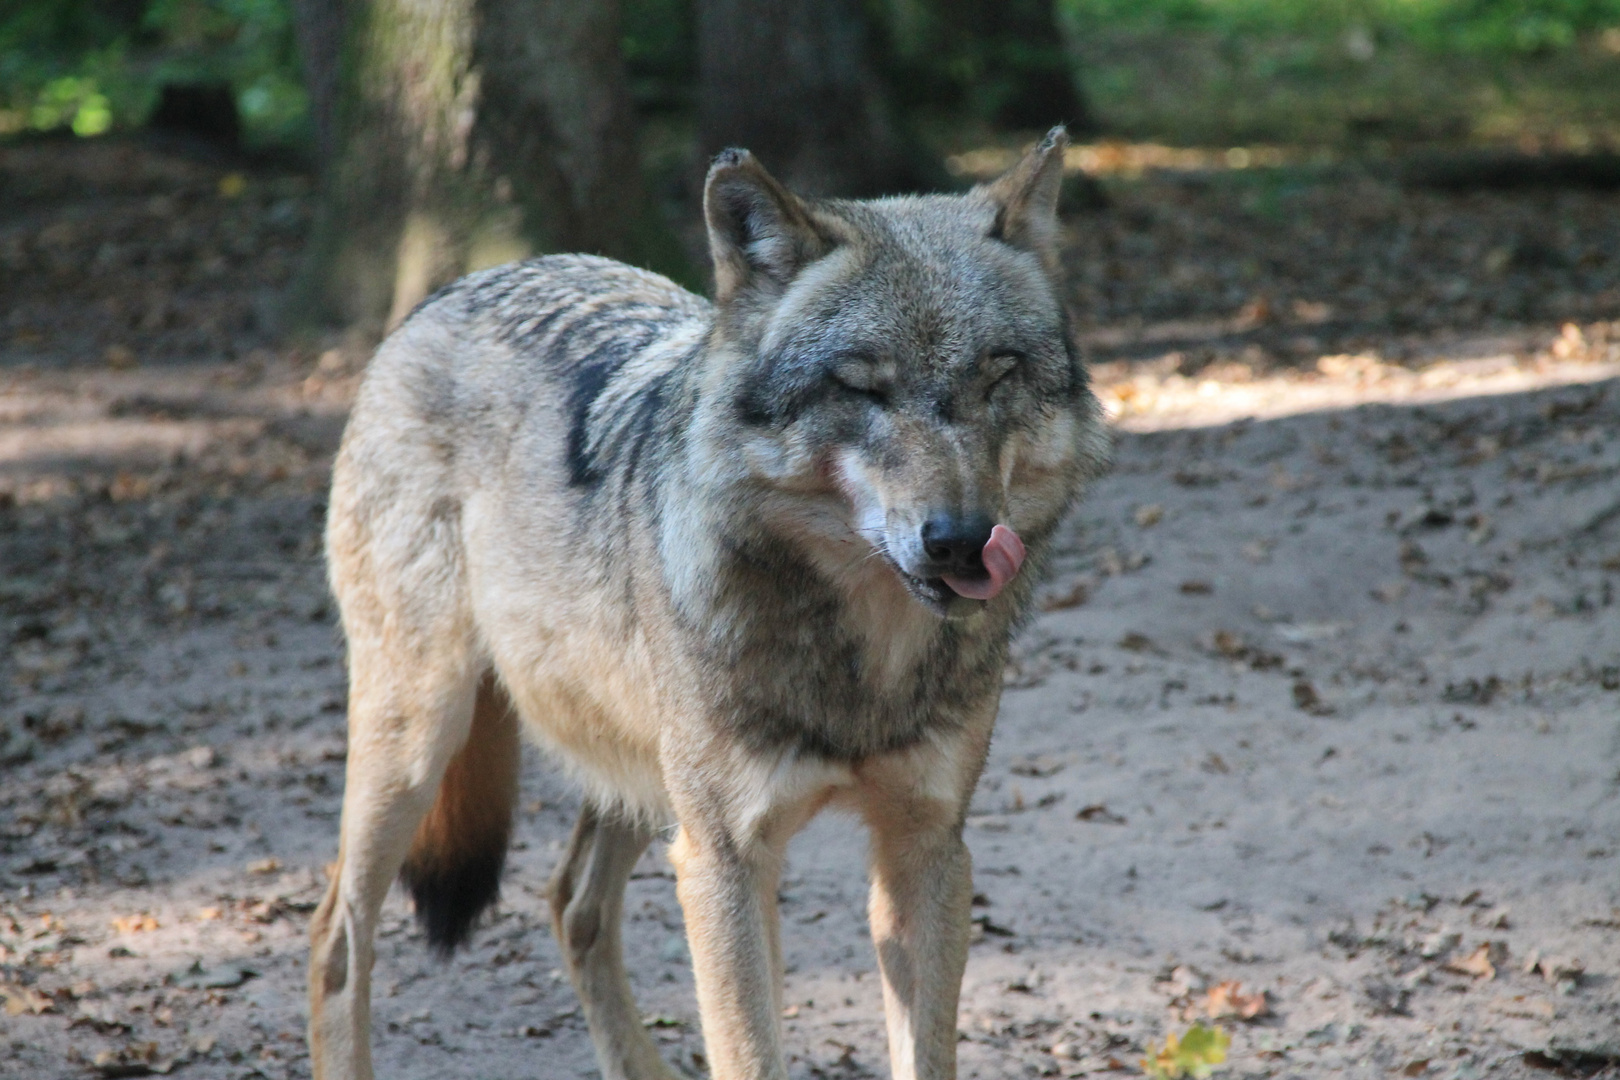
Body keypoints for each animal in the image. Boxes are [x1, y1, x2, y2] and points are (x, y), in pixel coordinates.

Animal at [307, 128, 1108, 1080]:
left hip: (639, 779)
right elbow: (750, 1053)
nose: (960, 539)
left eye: (997, 377)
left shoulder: (929, 847)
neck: (859, 662)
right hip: (425, 738)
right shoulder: (725, 859)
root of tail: (446, 294)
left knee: (571, 903)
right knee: (337, 938)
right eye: (861, 388)